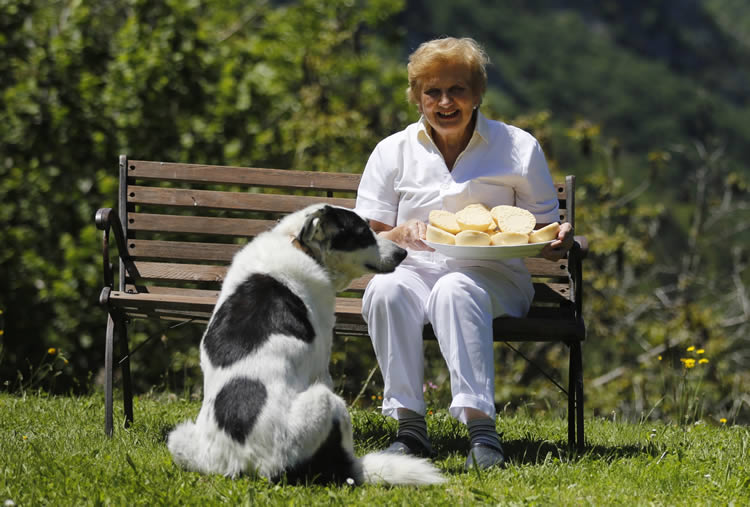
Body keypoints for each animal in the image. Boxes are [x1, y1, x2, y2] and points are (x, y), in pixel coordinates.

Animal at [167, 204, 444, 486]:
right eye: (363, 233)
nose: (403, 253)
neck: (298, 246)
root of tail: (248, 464)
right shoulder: (321, 368)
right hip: (325, 401)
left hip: (179, 437)